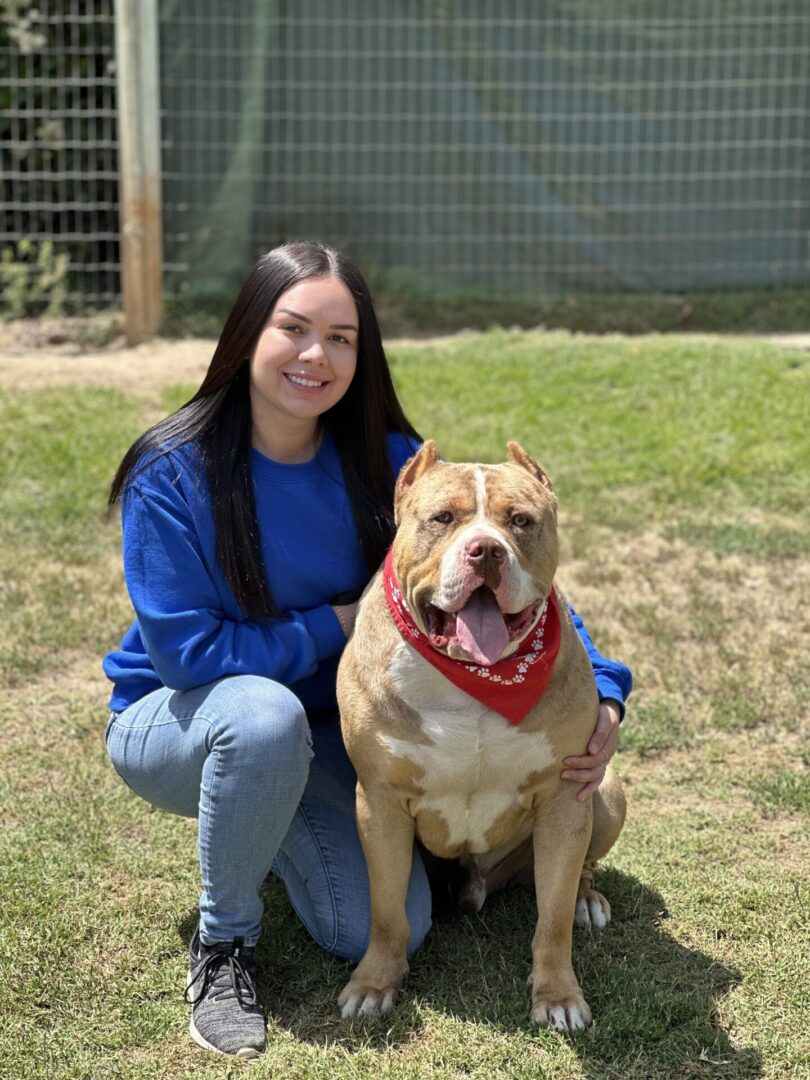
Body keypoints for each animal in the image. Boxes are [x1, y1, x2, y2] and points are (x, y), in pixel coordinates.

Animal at [336, 442, 626, 1032]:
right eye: (443, 518)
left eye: (520, 521)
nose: (486, 550)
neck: (473, 678)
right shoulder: (379, 802)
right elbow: (385, 911)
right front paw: (373, 984)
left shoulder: (564, 800)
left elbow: (552, 918)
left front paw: (557, 996)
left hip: (606, 791)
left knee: (579, 872)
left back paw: (586, 900)